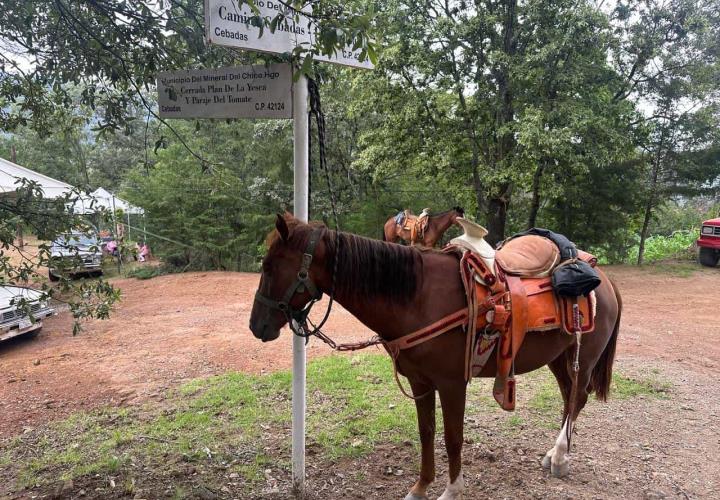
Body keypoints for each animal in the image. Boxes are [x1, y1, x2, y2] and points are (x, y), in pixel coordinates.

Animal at [249, 215, 620, 500]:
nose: (256, 326)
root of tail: (605, 279)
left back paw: (560, 458)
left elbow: (452, 438)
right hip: (558, 358)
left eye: (269, 266)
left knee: (577, 398)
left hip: (583, 358)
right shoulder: (420, 382)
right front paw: (420, 487)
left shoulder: (452, 384)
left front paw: (452, 490)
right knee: (568, 399)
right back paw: (556, 453)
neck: (419, 297)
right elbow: (426, 432)